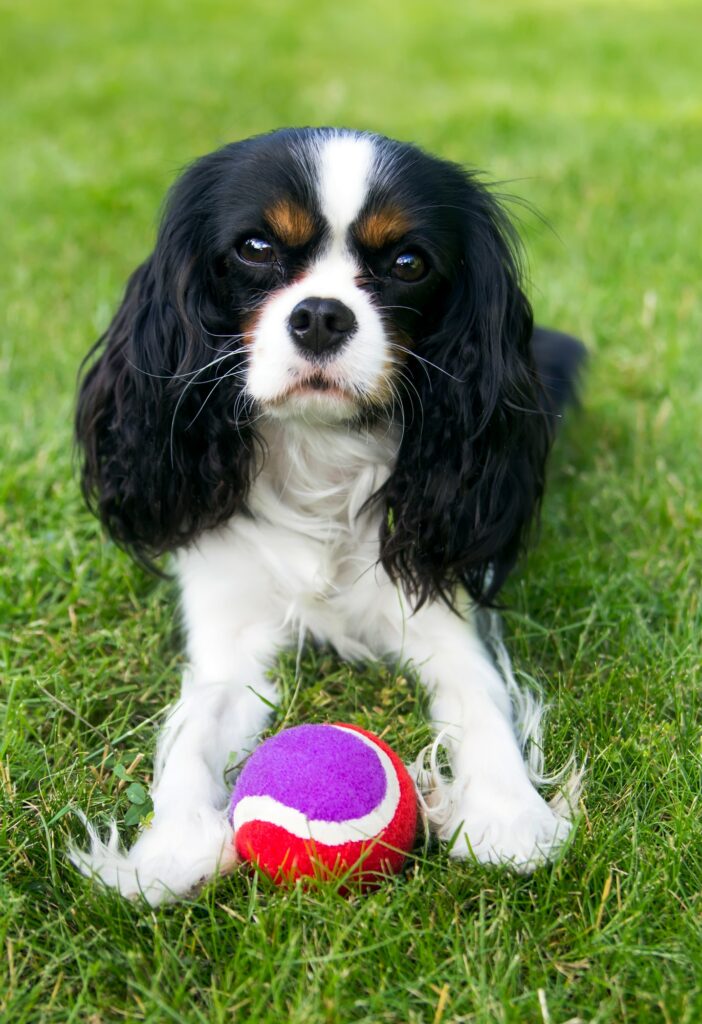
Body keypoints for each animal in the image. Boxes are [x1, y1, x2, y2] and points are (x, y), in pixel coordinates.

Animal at [74, 128, 585, 905]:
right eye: (255, 248)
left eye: (408, 263)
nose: (320, 314)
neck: (319, 448)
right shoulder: (229, 642)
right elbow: (193, 734)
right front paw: (170, 850)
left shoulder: (442, 617)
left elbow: (483, 700)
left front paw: (509, 816)